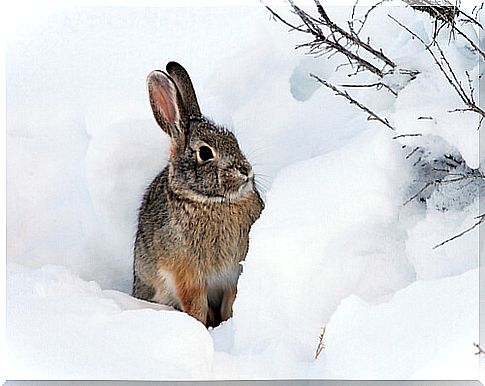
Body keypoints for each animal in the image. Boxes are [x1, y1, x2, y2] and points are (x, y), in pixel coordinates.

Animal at [132, 61, 264, 328]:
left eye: (233, 140)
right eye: (205, 153)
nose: (246, 171)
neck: (211, 202)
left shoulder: (233, 274)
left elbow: (230, 302)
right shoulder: (187, 277)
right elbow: (196, 307)